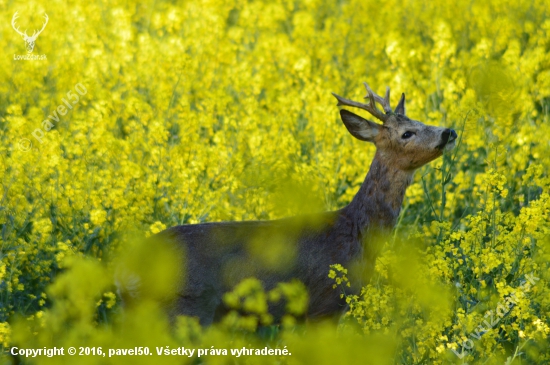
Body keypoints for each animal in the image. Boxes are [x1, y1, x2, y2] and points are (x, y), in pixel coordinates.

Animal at [144, 82, 460, 324]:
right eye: (406, 133)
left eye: (420, 121)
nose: (449, 132)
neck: (357, 232)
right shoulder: (325, 304)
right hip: (184, 308)